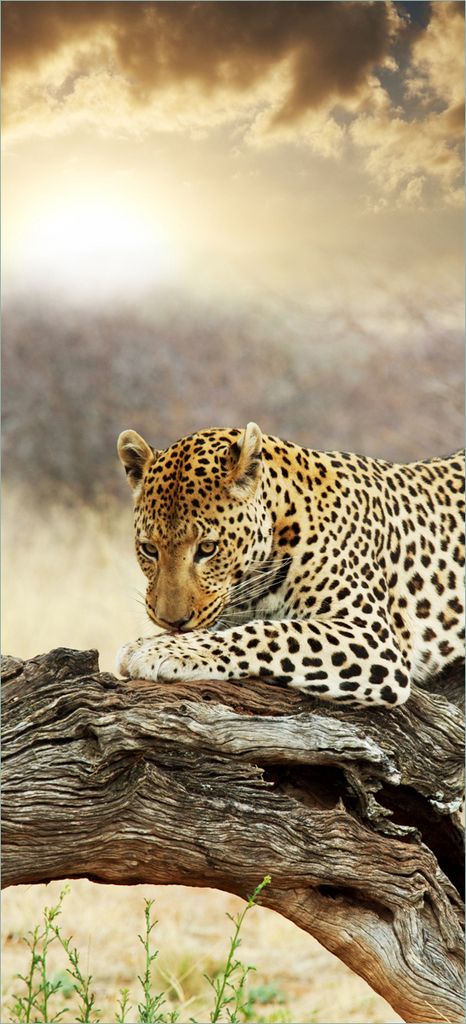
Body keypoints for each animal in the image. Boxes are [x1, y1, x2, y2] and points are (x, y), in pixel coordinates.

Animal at [116, 422, 465, 707]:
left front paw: (161, 651)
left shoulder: (371, 636)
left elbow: (270, 632)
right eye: (149, 549)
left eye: (207, 548)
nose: (172, 621)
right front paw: (150, 642)